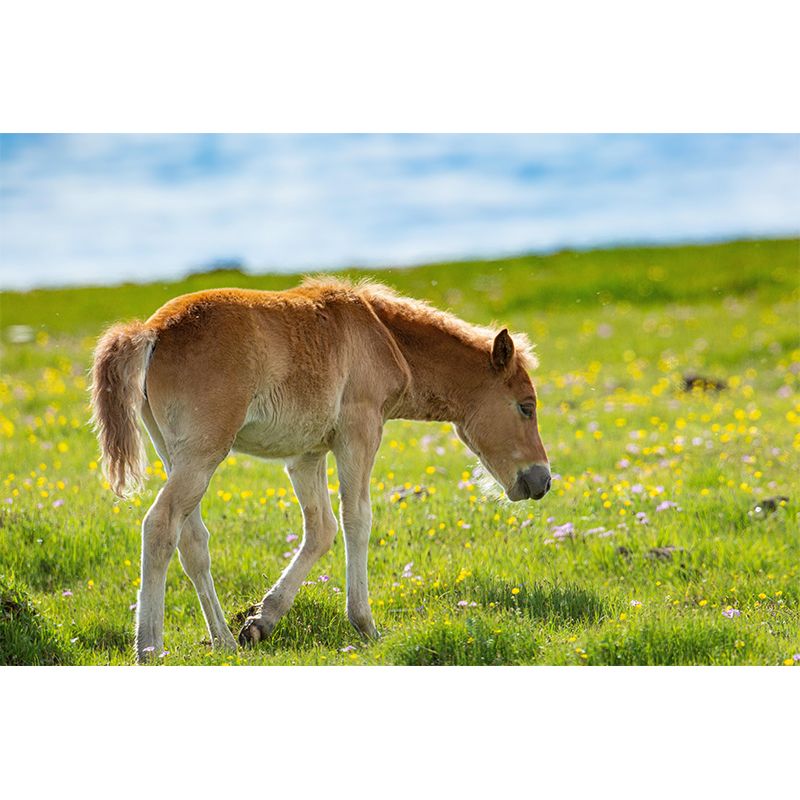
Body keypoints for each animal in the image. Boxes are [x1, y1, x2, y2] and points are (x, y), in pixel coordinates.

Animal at [90, 278, 551, 662]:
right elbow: (356, 519)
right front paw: (365, 625)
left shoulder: (307, 455)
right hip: (203, 454)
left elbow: (321, 530)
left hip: (175, 454)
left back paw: (222, 640)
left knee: (192, 541)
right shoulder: (359, 431)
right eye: (526, 406)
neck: (383, 337)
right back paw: (149, 648)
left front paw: (261, 621)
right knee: (160, 525)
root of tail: (150, 332)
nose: (542, 480)